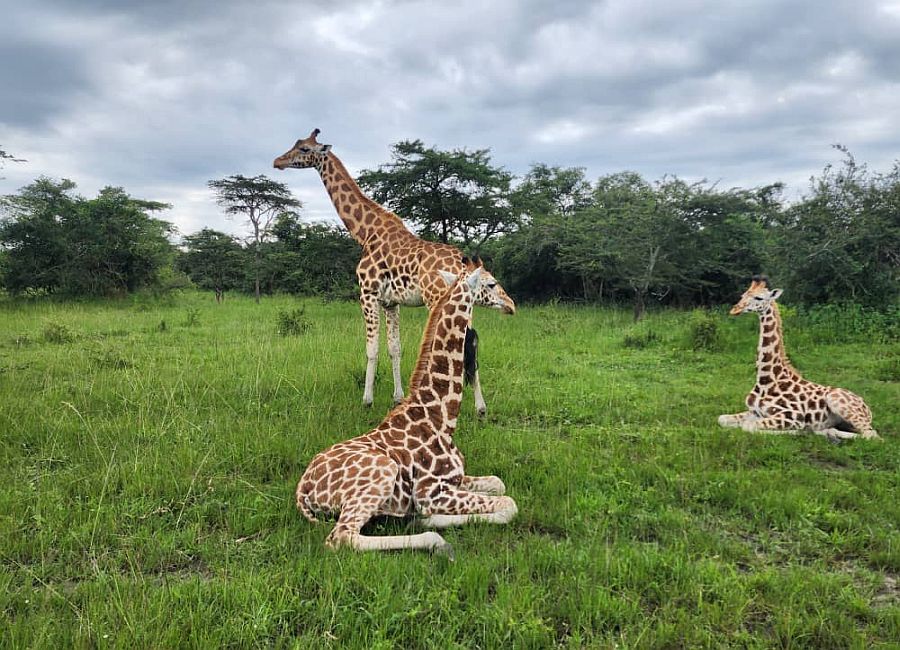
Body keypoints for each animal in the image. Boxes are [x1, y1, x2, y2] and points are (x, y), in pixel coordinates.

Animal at [272, 129, 512, 412]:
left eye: (305, 149)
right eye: (296, 144)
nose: (277, 161)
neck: (366, 233)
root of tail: (459, 263)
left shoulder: (367, 293)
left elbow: (372, 349)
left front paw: (367, 400)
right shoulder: (391, 302)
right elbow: (394, 348)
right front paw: (398, 397)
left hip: (435, 299)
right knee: (470, 345)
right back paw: (479, 406)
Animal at [296, 260, 516, 556]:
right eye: (491, 283)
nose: (511, 304)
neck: (440, 414)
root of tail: (303, 488)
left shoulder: (455, 480)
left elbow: (497, 482)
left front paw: (421, 516)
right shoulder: (431, 491)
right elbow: (509, 504)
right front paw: (424, 518)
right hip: (382, 474)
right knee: (341, 537)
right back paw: (437, 542)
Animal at [716, 274, 880, 440]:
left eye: (759, 297)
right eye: (743, 295)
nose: (735, 309)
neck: (765, 380)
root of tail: (867, 407)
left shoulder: (793, 416)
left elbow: (748, 426)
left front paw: (800, 431)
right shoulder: (755, 411)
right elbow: (722, 419)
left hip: (839, 403)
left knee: (872, 435)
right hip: (846, 422)